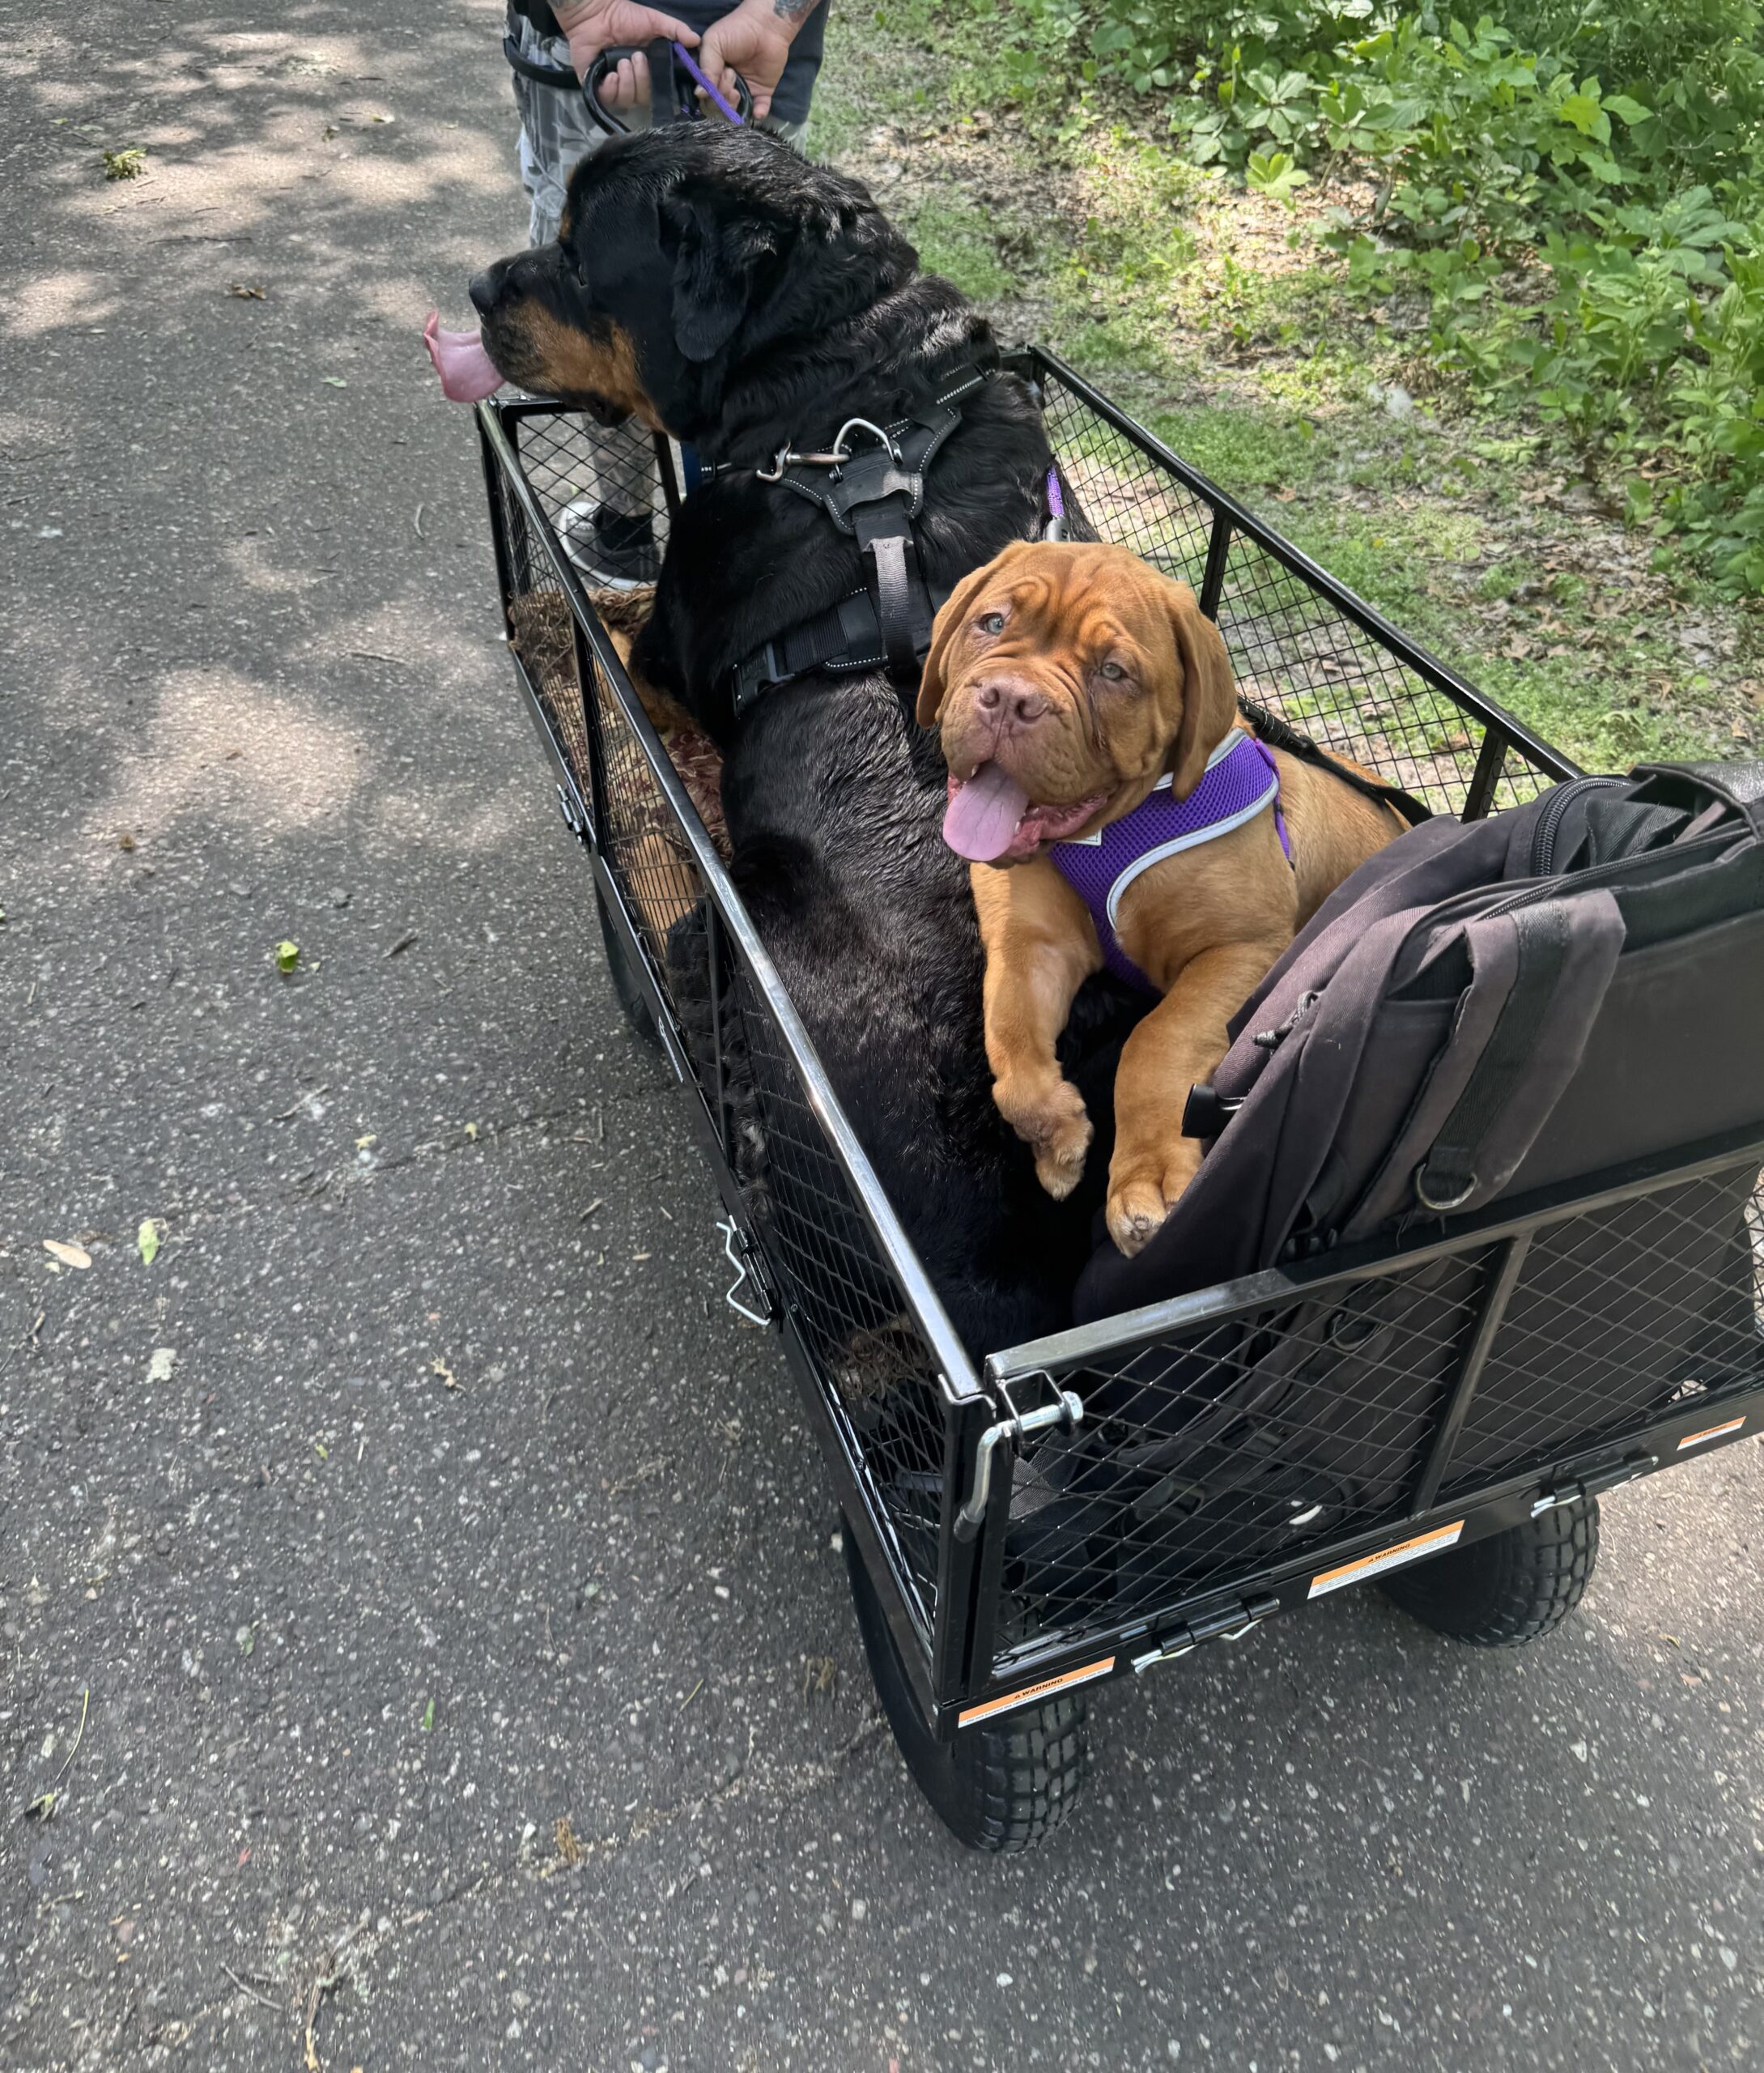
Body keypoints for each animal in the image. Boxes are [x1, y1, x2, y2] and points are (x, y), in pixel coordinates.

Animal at [467, 122, 1144, 1355]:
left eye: (581, 256)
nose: (479, 287)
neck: (851, 398)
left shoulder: (666, 649)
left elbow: (629, 637)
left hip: (734, 931)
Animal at [918, 540, 1417, 1258]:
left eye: (1113, 671)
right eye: (991, 623)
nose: (1008, 699)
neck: (1111, 830)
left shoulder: (1237, 950)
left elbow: (1157, 1041)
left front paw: (1146, 1178)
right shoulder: (1030, 944)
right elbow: (1007, 1041)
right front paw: (1056, 1135)